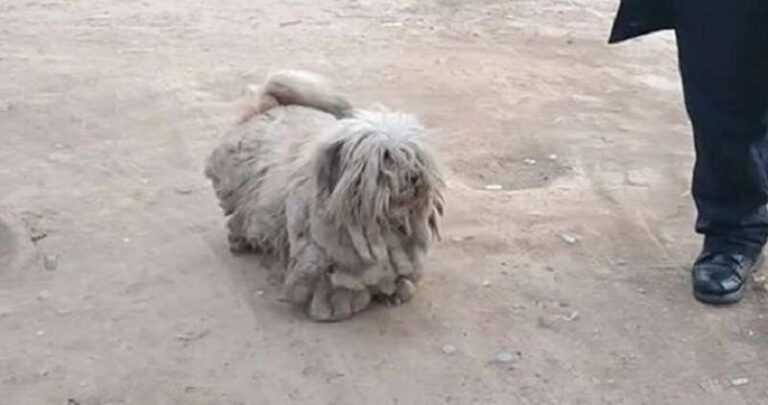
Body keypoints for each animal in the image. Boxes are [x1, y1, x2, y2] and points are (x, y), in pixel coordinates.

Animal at [206, 70, 444, 322]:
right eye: (386, 156)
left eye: (413, 154)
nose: (414, 176)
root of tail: (266, 107)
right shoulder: (323, 253)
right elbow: (331, 284)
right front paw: (334, 306)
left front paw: (396, 291)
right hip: (243, 192)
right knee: (238, 218)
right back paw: (239, 242)